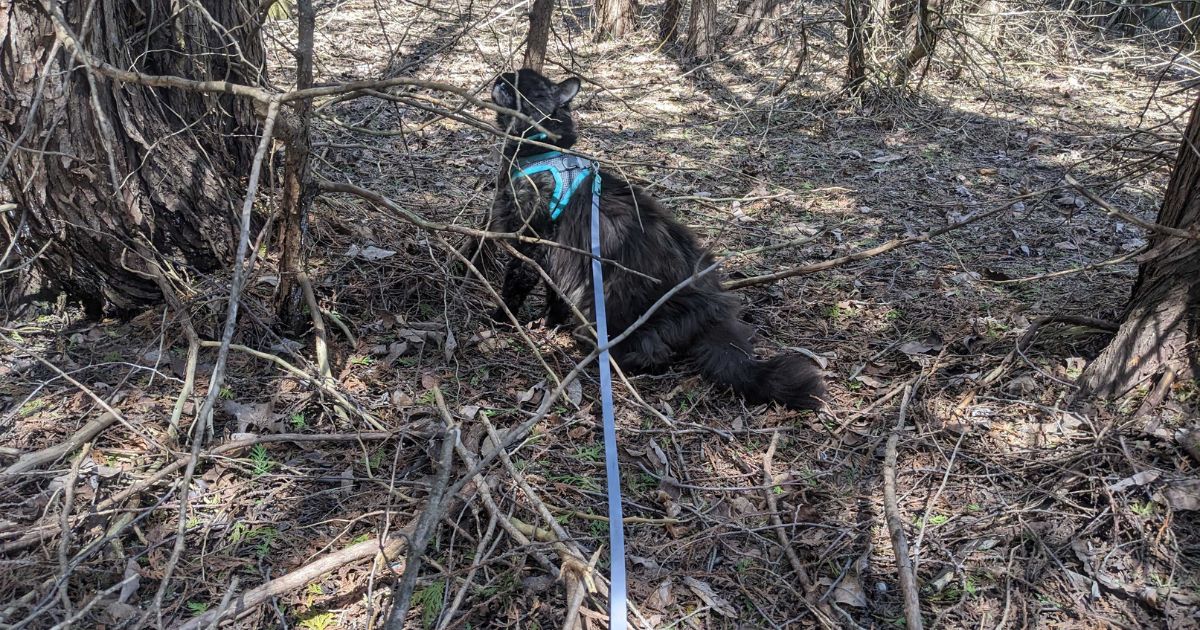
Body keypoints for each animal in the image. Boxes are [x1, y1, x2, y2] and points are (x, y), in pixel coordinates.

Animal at [487, 69, 825, 412]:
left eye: (520, 84)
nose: (500, 77)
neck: (542, 151)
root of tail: (710, 309)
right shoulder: (558, 254)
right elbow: (555, 294)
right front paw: (551, 323)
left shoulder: (530, 240)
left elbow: (513, 287)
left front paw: (499, 323)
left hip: (609, 301)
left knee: (653, 354)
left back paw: (596, 352)